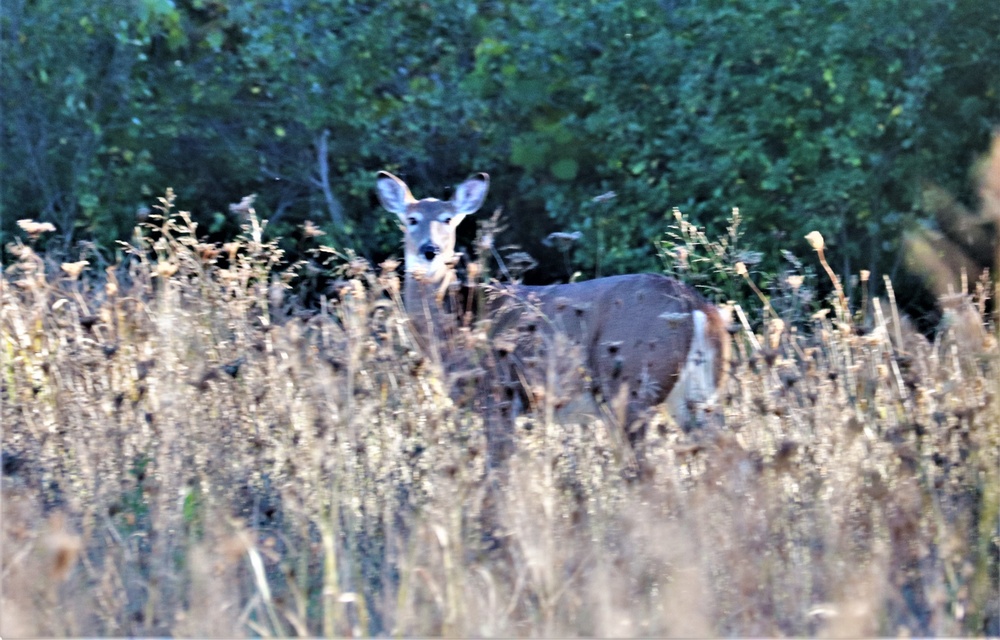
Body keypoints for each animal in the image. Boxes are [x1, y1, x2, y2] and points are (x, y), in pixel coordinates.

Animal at [376, 170, 728, 448]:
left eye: (447, 219)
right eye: (411, 219)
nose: (430, 250)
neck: (454, 323)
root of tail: (697, 306)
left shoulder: (498, 398)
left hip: (631, 386)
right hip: (694, 394)